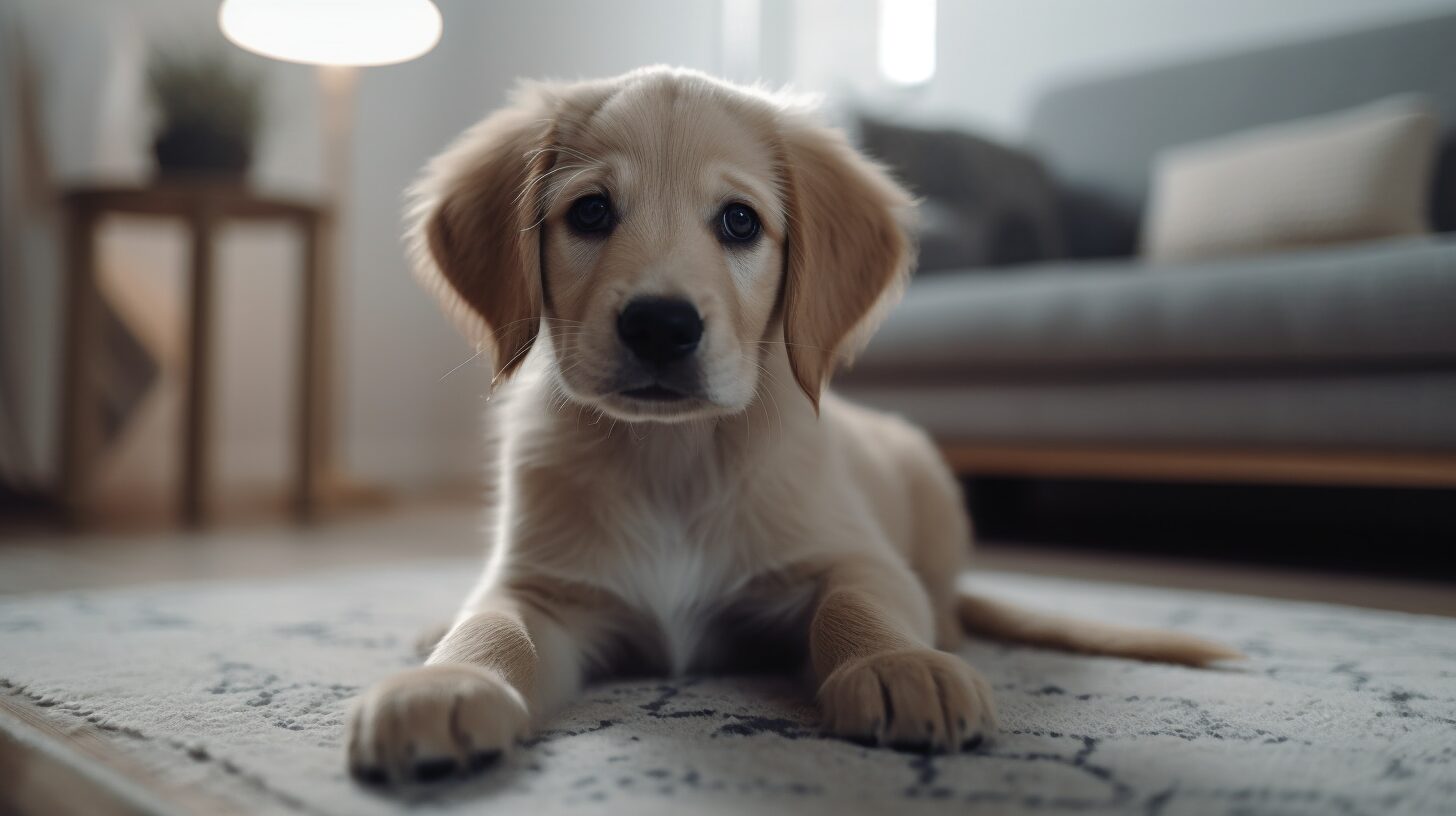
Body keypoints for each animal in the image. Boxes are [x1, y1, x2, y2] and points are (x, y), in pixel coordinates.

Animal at [343, 65, 1240, 786]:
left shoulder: (849, 551)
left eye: (740, 222)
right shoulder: (546, 586)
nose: (660, 326)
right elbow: (494, 626)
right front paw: (445, 683)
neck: (672, 455)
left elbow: (859, 601)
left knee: (945, 602)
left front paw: (899, 665)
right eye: (590, 213)